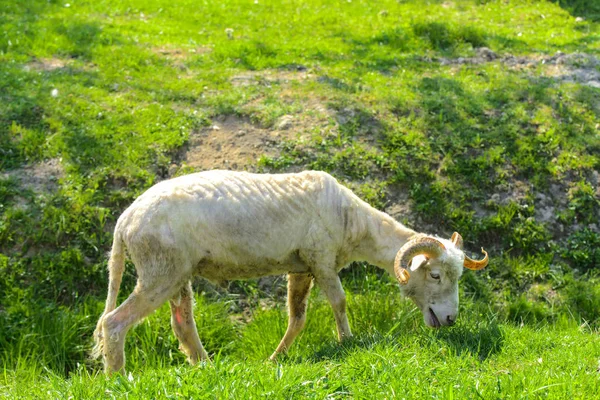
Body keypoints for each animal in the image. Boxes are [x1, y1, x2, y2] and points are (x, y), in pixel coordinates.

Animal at [94, 170, 488, 374]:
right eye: (435, 276)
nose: (450, 320)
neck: (354, 220)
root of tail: (125, 220)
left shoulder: (301, 268)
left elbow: (297, 318)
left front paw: (275, 358)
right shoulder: (321, 258)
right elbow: (340, 302)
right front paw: (348, 342)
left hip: (177, 274)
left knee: (182, 323)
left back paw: (206, 366)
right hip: (160, 270)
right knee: (113, 323)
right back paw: (119, 379)